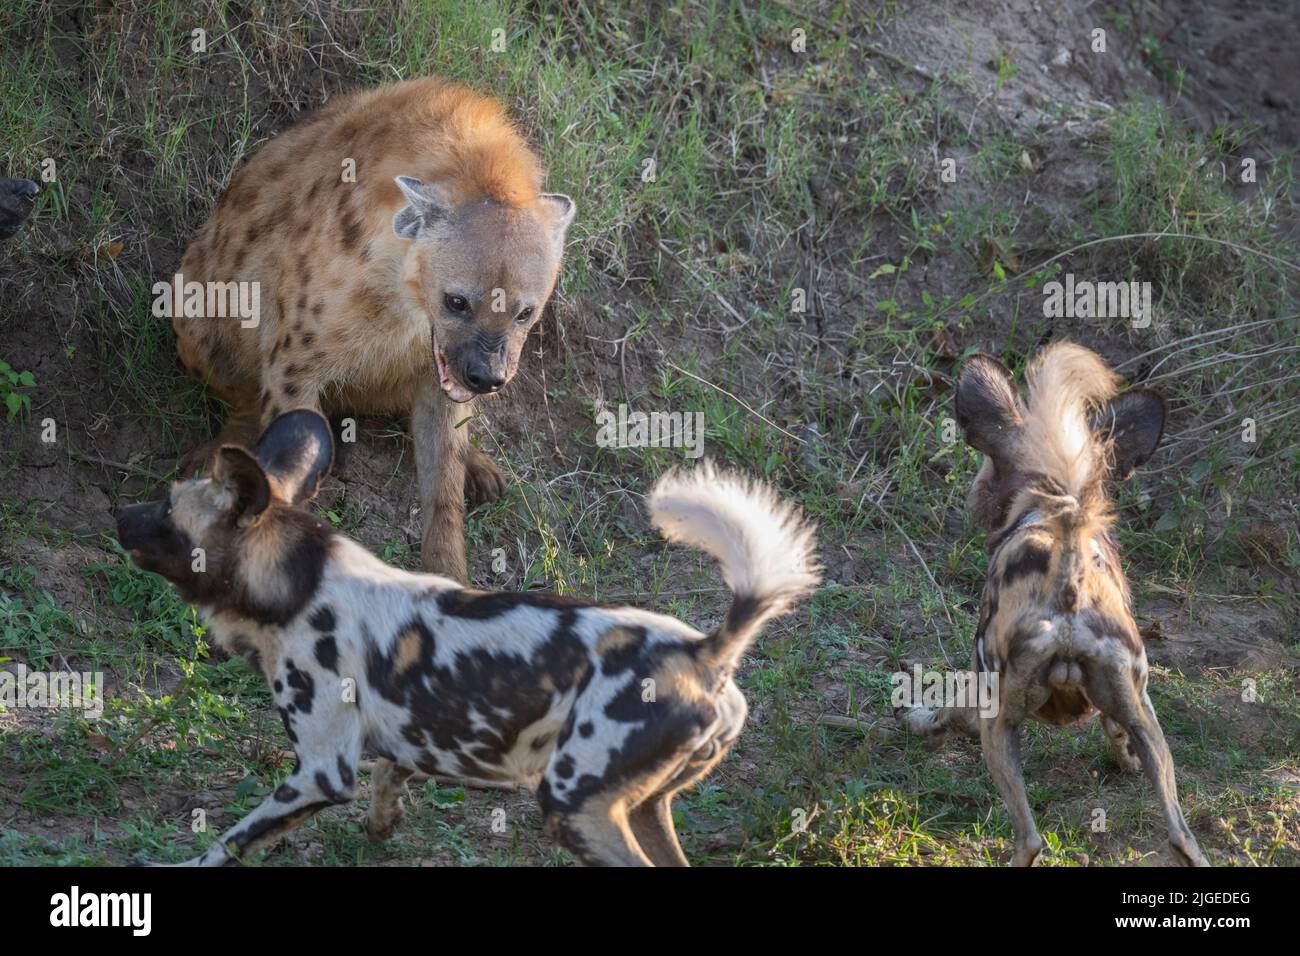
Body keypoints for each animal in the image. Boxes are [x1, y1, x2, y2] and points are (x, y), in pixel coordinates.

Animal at [114, 411, 821, 868]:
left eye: (168, 512)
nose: (118, 514)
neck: (295, 581)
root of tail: (704, 652)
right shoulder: (398, 741)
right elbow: (388, 780)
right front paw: (382, 829)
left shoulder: (319, 772)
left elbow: (228, 842)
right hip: (643, 807)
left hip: (573, 806)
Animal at [170, 74, 577, 582]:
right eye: (457, 301)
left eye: (524, 312)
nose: (486, 377)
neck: (405, 301)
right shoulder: (294, 364)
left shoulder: (438, 371)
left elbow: (443, 487)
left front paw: (450, 577)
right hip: (191, 303)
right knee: (240, 389)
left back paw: (478, 465)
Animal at [904, 343, 1206, 868]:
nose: (972, 499)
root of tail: (1067, 597)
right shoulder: (1130, 705)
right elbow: (1114, 732)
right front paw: (1124, 762)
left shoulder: (979, 696)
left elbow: (942, 712)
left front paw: (919, 722)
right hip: (1148, 722)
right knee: (1181, 836)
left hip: (1000, 725)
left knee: (1030, 839)